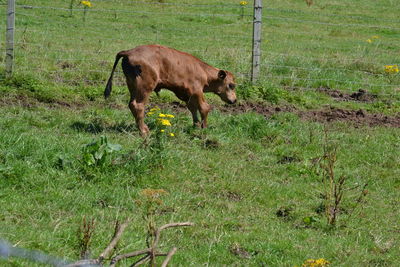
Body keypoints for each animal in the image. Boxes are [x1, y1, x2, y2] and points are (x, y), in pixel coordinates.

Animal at [105, 45, 238, 136]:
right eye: (231, 85)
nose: (235, 100)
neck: (202, 70)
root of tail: (128, 52)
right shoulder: (197, 91)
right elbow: (204, 107)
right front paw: (204, 128)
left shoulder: (187, 95)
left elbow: (192, 108)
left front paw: (195, 125)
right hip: (144, 88)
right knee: (138, 106)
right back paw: (144, 131)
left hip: (133, 87)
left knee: (132, 105)